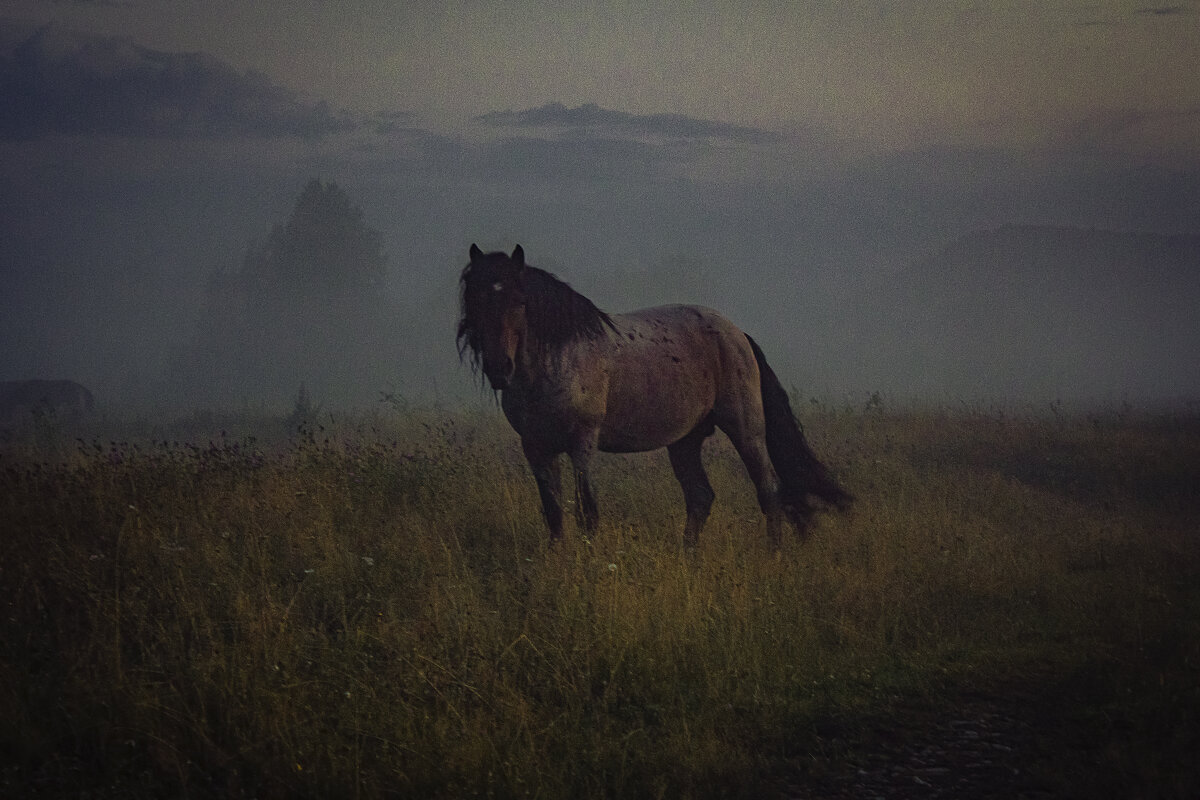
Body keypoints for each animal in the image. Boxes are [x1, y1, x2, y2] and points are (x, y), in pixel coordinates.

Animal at [453, 242, 849, 544]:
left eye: (520, 301)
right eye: (475, 298)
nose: (499, 368)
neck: (557, 359)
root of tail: (737, 333)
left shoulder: (581, 442)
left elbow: (586, 511)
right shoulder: (536, 447)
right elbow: (553, 514)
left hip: (746, 430)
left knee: (769, 493)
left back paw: (773, 556)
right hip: (686, 440)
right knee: (700, 497)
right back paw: (689, 561)